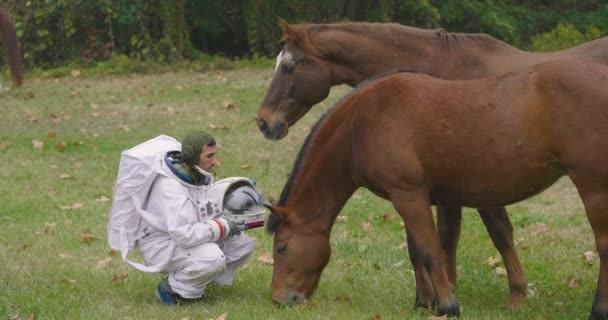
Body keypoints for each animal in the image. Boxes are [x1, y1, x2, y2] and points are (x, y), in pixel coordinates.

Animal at [258, 18, 608, 308]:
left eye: (288, 66)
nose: (264, 122)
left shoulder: (426, 192)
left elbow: (451, 242)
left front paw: (462, 301)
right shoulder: (431, 193)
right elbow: (428, 245)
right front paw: (428, 300)